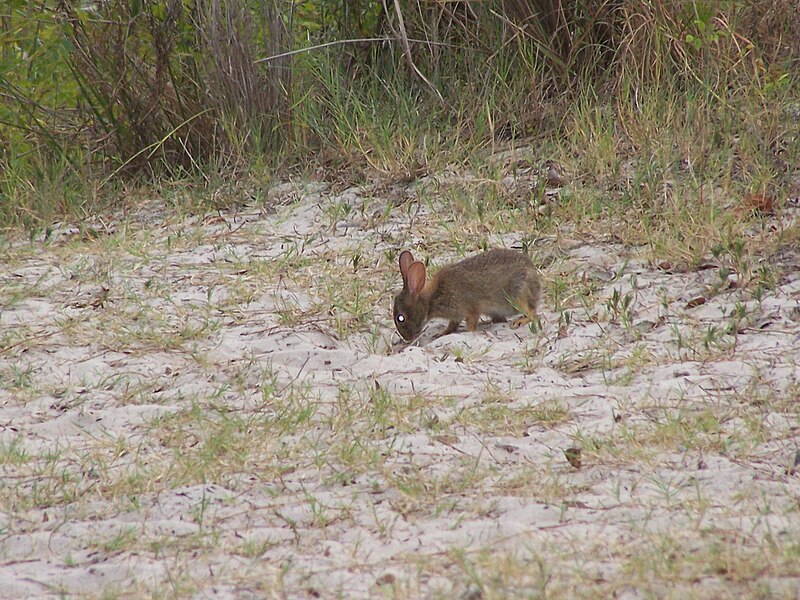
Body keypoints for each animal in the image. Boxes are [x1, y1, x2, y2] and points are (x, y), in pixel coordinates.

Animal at [392, 248, 540, 342]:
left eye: (401, 318)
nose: (407, 338)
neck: (431, 299)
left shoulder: (471, 307)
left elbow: (471, 322)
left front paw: (467, 332)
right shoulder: (456, 316)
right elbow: (452, 325)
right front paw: (441, 333)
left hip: (517, 294)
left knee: (532, 314)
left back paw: (519, 321)